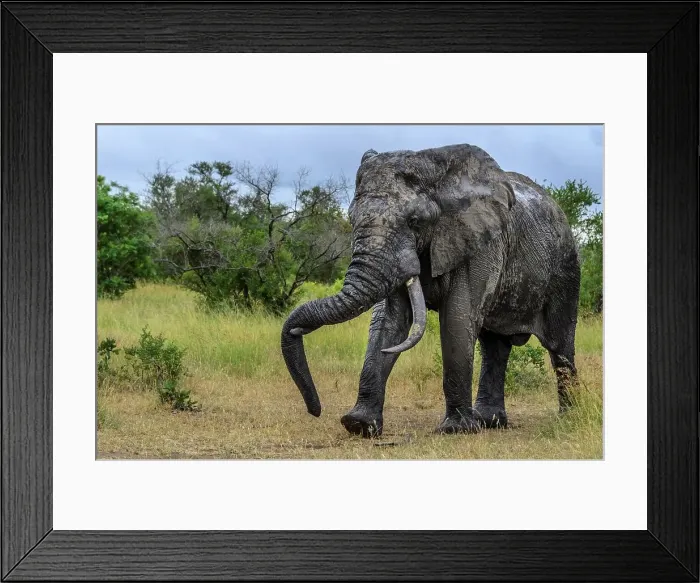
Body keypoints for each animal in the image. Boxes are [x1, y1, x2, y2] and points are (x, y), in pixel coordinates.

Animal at [281, 143, 581, 437]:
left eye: (415, 221)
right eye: (351, 218)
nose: (315, 410)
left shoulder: (479, 243)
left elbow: (457, 320)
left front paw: (456, 430)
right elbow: (389, 322)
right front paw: (359, 425)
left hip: (565, 267)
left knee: (559, 345)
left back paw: (568, 417)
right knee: (494, 346)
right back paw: (490, 422)